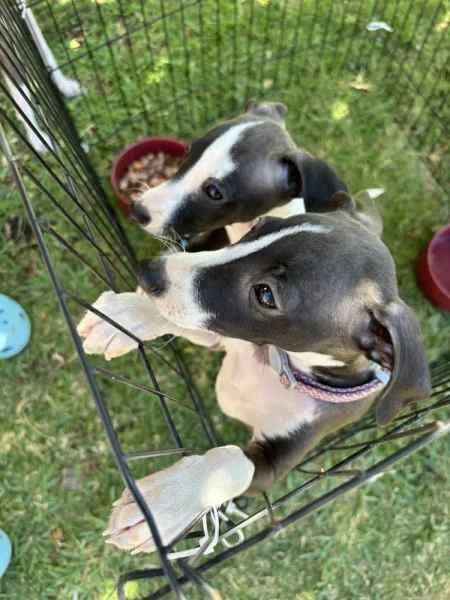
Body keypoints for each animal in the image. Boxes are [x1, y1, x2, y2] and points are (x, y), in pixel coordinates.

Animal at [78, 192, 432, 552]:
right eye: (260, 226)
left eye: (265, 294)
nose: (148, 272)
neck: (280, 368)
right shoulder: (222, 334)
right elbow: (180, 318)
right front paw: (127, 315)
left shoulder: (278, 463)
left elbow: (232, 462)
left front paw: (164, 504)